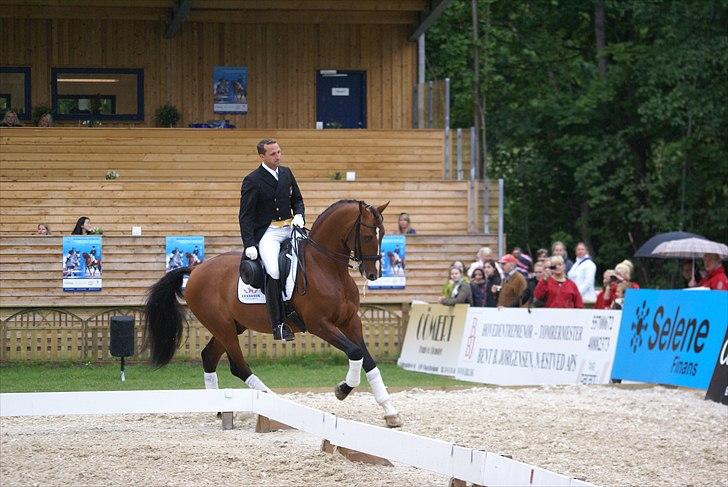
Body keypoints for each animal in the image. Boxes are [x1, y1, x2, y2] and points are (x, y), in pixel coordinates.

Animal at [142, 200, 404, 428]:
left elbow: (367, 360)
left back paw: (218, 408)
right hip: (222, 326)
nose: (373, 274)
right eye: (368, 236)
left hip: (231, 326)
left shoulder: (351, 322)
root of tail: (196, 269)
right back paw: (275, 404)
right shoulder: (320, 325)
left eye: (382, 234)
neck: (328, 268)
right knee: (238, 366)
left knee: (209, 357)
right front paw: (342, 389)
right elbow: (355, 352)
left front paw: (390, 412)